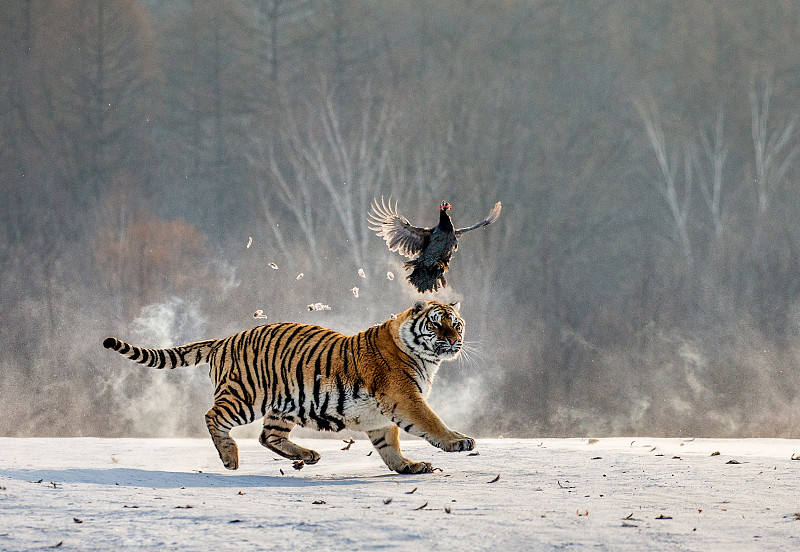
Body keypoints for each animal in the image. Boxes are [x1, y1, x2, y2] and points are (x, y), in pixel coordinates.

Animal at [102, 300, 472, 472]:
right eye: (436, 325)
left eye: (455, 325)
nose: (454, 341)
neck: (425, 358)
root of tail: (224, 339)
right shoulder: (405, 398)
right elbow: (431, 422)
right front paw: (458, 441)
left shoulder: (380, 416)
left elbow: (390, 447)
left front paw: (409, 467)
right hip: (245, 396)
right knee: (212, 416)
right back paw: (230, 458)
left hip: (285, 406)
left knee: (268, 437)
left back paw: (307, 455)